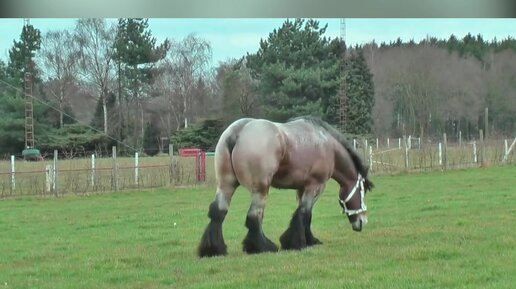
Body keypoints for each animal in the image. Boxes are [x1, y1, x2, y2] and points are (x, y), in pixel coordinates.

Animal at [199, 115, 374, 256]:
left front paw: (304, 240)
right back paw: (262, 247)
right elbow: (305, 213)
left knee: (218, 212)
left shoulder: (302, 188)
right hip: (260, 190)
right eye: (363, 192)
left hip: (225, 185)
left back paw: (213, 249)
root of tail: (238, 132)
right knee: (254, 216)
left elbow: (303, 213)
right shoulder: (315, 187)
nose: (363, 221)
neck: (327, 145)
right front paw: (299, 243)